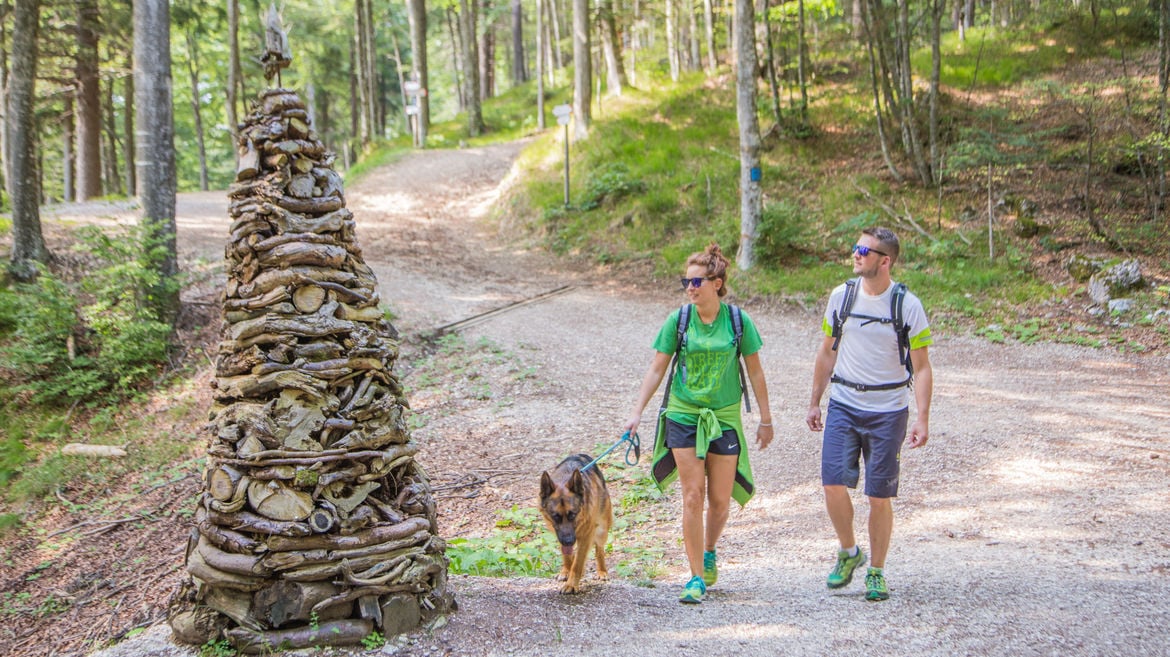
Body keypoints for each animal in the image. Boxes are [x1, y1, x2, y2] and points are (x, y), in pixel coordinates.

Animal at [538, 453, 613, 591]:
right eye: (555, 516)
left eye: (573, 514)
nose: (568, 541)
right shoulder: (560, 534)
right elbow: (568, 556)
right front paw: (567, 570)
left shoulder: (586, 536)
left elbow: (578, 563)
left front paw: (572, 584)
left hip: (602, 530)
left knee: (599, 549)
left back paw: (602, 571)